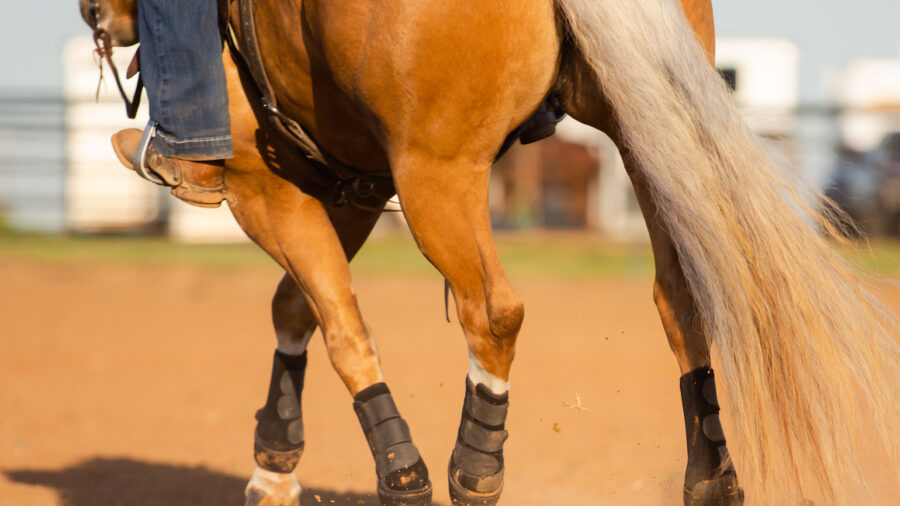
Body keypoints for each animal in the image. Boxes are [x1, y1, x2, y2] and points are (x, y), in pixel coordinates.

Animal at [77, 0, 900, 505]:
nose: (95, 14)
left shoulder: (268, 185)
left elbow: (341, 325)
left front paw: (401, 475)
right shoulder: (350, 186)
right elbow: (299, 307)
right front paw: (274, 464)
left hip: (439, 173)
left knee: (492, 311)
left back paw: (473, 469)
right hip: (647, 134)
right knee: (681, 298)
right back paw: (712, 480)